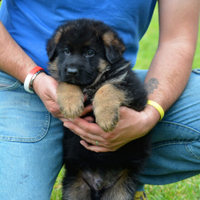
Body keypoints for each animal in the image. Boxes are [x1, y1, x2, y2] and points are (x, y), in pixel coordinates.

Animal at [47, 18, 150, 200]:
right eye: (66, 51)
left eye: (90, 53)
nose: (72, 71)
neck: (92, 84)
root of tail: (99, 183)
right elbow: (67, 82)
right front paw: (71, 104)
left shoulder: (134, 92)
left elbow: (108, 87)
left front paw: (106, 118)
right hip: (75, 187)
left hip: (120, 190)